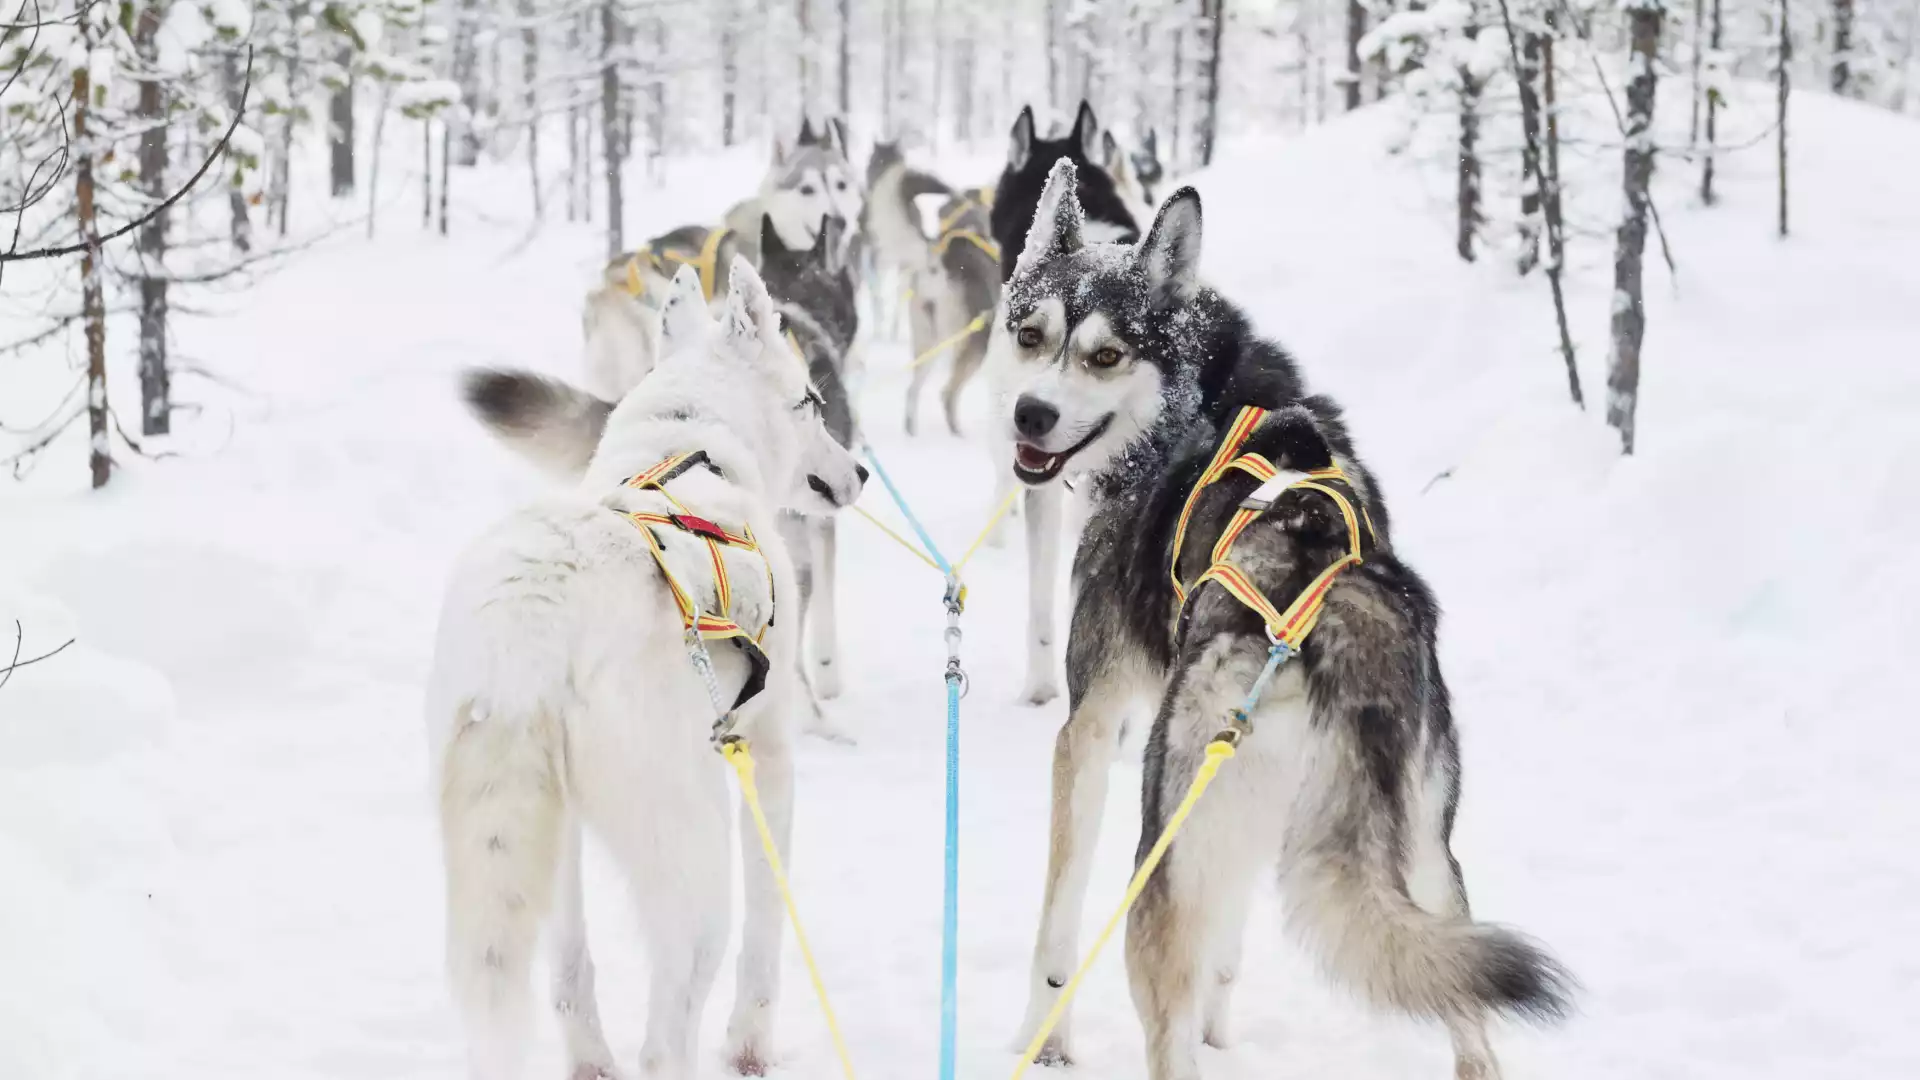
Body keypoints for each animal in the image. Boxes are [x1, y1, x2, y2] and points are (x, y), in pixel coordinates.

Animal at [430, 261, 871, 1076]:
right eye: (811, 401)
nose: (858, 470)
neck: (692, 442)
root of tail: (532, 626)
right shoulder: (767, 752)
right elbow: (768, 931)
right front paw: (751, 1044)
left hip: (542, 843)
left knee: (568, 980)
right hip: (692, 863)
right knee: (665, 1037)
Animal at [998, 161, 1566, 1076]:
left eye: (1105, 355)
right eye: (1028, 333)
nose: (1031, 415)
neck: (1195, 399)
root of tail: (1329, 615)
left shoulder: (1090, 729)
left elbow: (1055, 929)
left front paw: (1041, 1041)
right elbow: (1225, 951)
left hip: (1167, 842)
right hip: (1424, 867)